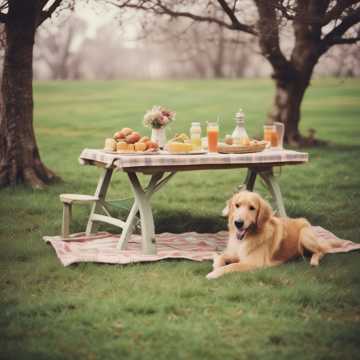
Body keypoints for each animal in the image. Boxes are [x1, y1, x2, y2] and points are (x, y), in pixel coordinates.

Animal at [207, 190, 342, 280]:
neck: (245, 238)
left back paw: (314, 261)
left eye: (252, 208)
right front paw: (216, 266)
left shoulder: (253, 263)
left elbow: (231, 266)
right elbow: (221, 257)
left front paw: (213, 273)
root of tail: (303, 220)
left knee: (321, 251)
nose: (238, 223)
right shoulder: (232, 253)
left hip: (305, 236)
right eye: (237, 205)